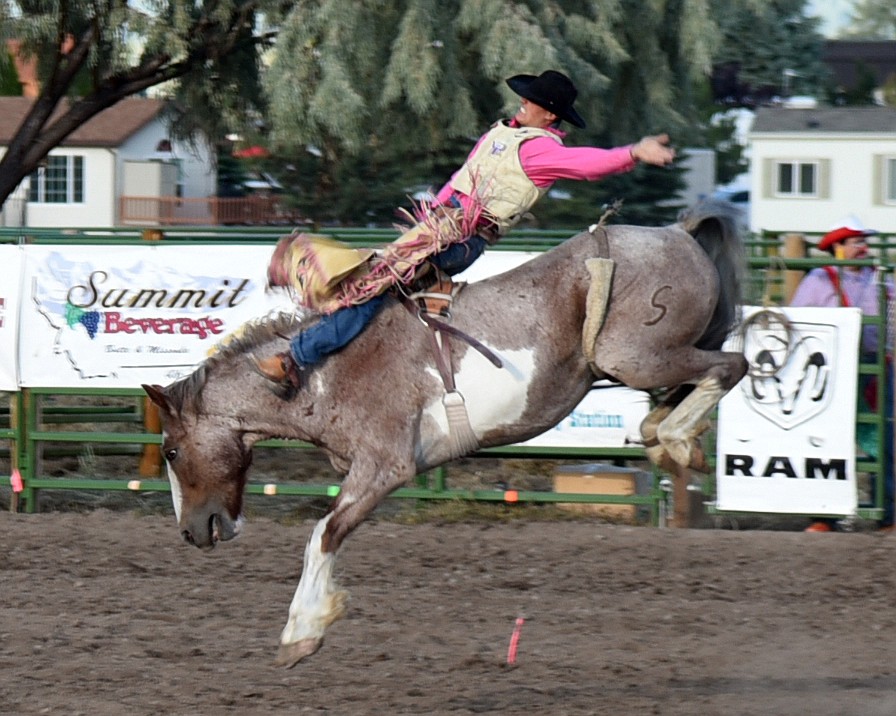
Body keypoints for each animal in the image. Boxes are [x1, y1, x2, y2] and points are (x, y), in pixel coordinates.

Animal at [144, 200, 744, 664]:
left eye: (171, 451)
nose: (190, 532)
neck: (314, 373)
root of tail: (677, 232)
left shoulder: (385, 465)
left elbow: (324, 534)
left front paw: (302, 633)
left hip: (636, 357)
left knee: (730, 365)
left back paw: (678, 439)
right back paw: (667, 435)